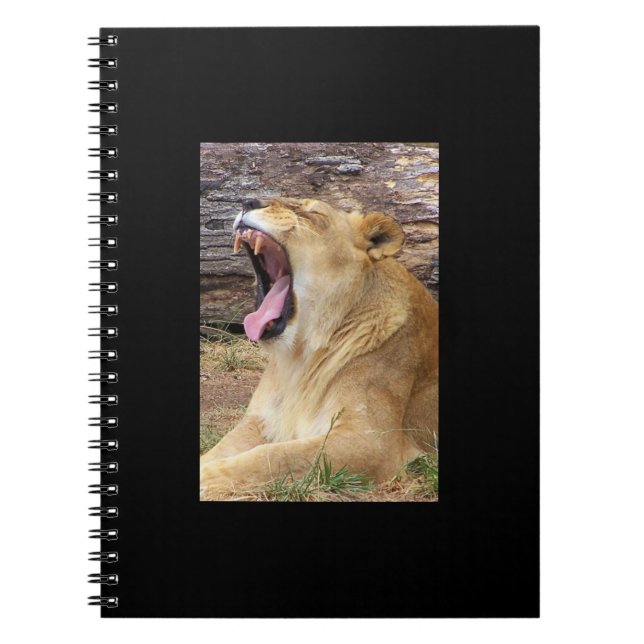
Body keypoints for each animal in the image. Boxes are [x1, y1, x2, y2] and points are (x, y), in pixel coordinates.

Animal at [200, 197, 438, 500]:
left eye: (312, 214)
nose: (248, 201)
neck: (300, 358)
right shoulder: (258, 421)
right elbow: (221, 450)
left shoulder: (371, 442)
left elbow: (274, 456)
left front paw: (206, 478)